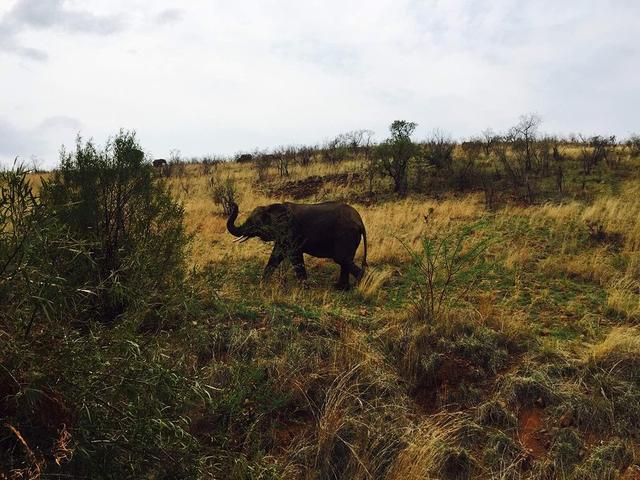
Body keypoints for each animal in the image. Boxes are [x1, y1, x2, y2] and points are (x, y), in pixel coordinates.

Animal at [229, 202, 370, 290]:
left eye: (255, 223)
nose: (234, 204)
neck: (271, 206)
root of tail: (360, 221)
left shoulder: (291, 232)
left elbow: (294, 254)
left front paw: (304, 289)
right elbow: (276, 255)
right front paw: (262, 284)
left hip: (345, 235)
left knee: (341, 259)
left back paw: (362, 285)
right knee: (345, 261)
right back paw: (341, 288)